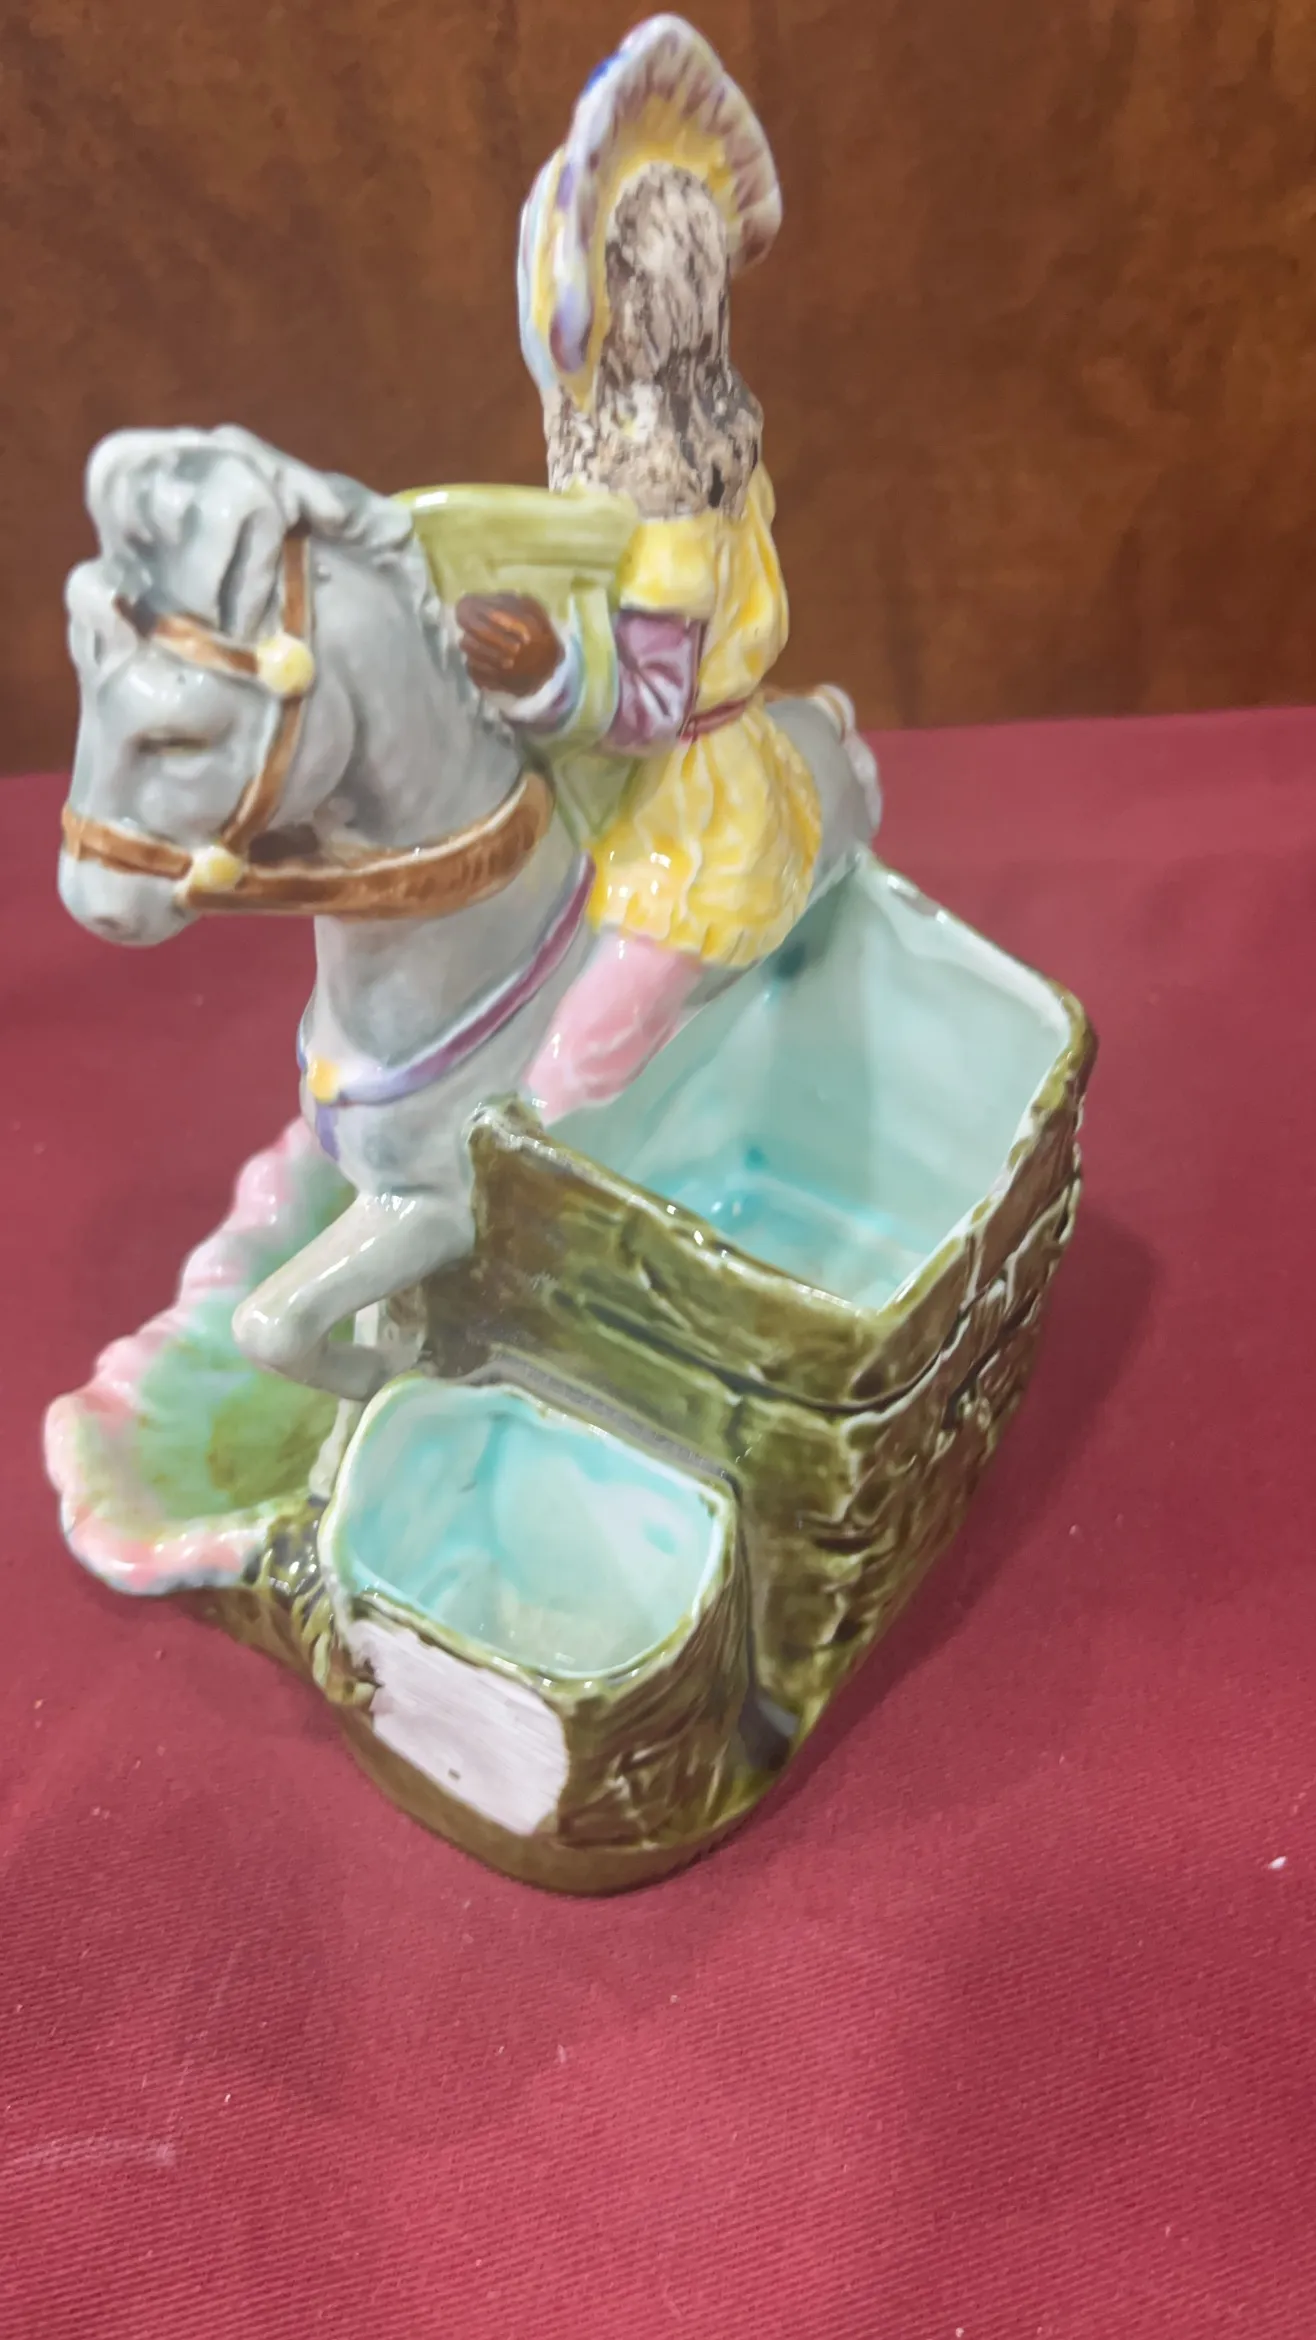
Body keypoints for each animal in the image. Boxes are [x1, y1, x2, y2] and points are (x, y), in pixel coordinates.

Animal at [59, 424, 878, 1404]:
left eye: (179, 739)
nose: (94, 900)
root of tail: (828, 726)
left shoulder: (435, 1210)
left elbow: (273, 1320)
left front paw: (382, 1367)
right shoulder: (373, 1190)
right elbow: (295, 1314)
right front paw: (378, 1360)